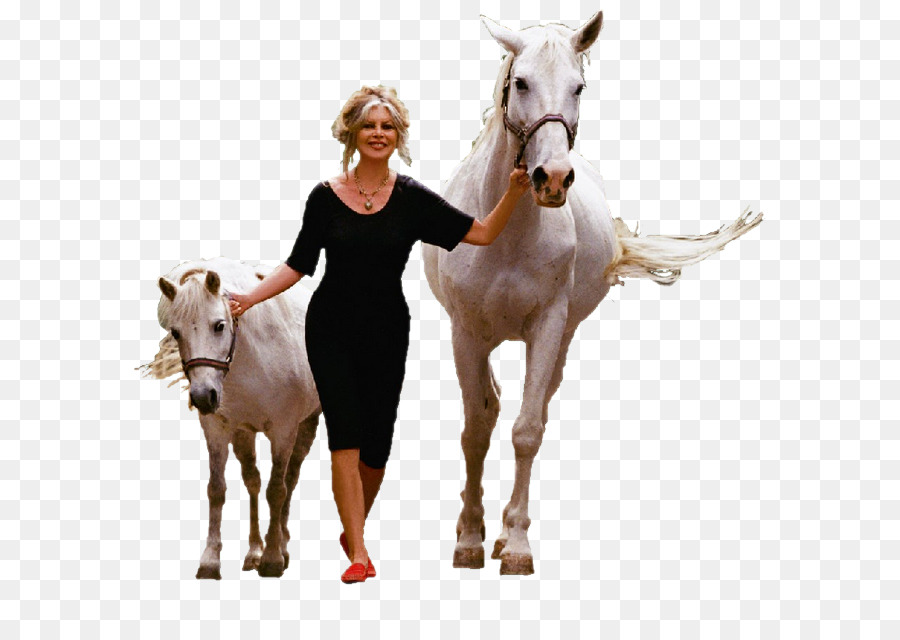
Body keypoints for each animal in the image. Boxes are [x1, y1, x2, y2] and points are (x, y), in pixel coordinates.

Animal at [142, 258, 322, 576]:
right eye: (176, 332)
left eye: (219, 325)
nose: (203, 396)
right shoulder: (218, 429)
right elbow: (217, 489)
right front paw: (210, 560)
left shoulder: (283, 431)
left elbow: (277, 490)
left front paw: (273, 558)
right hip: (243, 433)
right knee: (253, 481)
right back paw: (253, 551)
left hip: (307, 424)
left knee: (291, 478)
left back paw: (282, 546)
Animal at [426, 13, 764, 576]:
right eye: (521, 82)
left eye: (578, 87)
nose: (553, 179)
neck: (507, 234)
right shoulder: (465, 331)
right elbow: (475, 430)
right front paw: (469, 539)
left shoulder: (548, 326)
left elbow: (527, 431)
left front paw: (515, 545)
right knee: (490, 409)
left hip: (561, 340)